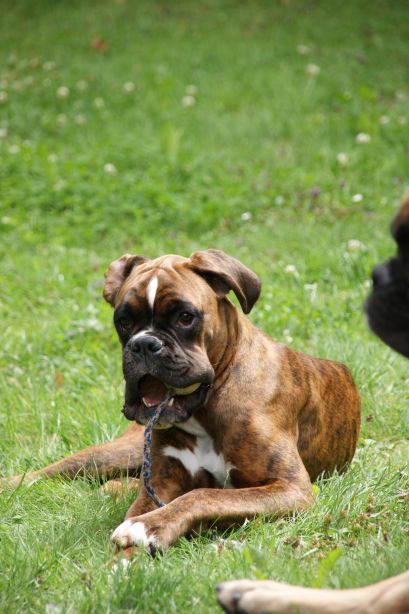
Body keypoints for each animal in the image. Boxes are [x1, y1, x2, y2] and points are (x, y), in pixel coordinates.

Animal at [3, 249, 361, 557]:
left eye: (186, 317)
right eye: (123, 322)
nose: (144, 344)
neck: (206, 408)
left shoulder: (291, 488)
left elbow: (203, 495)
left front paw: (148, 527)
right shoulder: (159, 486)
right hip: (117, 453)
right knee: (51, 472)